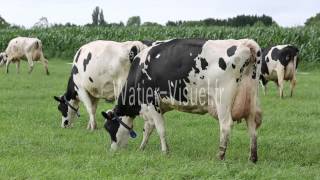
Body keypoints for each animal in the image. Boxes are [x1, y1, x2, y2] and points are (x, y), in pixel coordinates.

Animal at [101, 38, 262, 162]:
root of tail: (244, 43)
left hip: (223, 99)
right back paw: (252, 158)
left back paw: (220, 156)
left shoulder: (151, 102)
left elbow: (160, 129)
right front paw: (142, 148)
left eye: (109, 128)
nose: (112, 151)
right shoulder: (153, 108)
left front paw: (165, 152)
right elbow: (148, 129)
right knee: (252, 127)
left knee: (226, 125)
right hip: (251, 99)